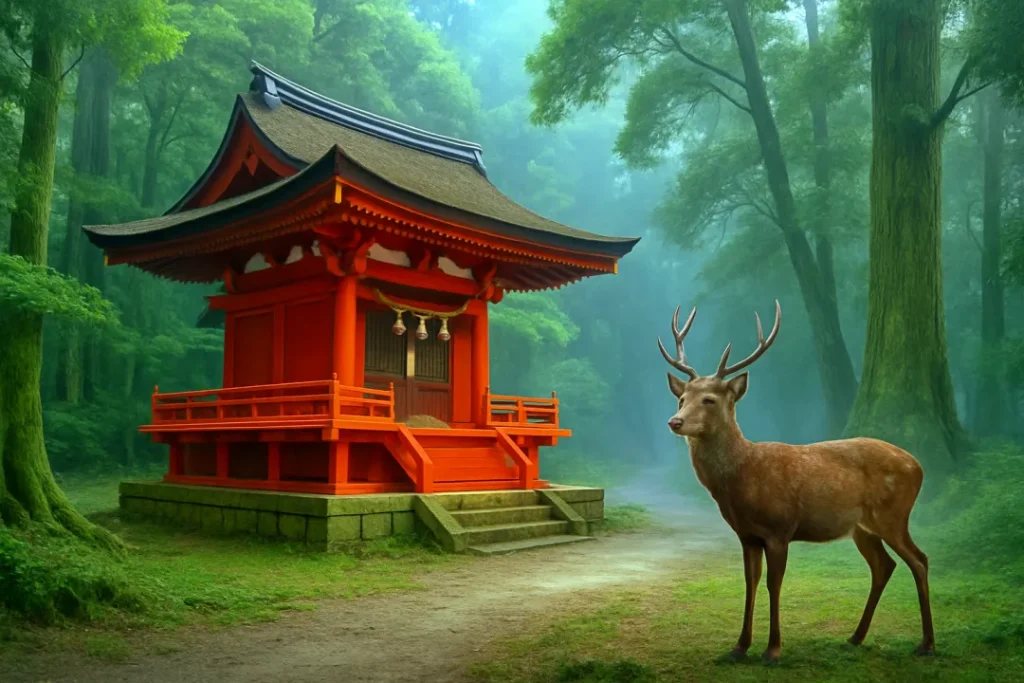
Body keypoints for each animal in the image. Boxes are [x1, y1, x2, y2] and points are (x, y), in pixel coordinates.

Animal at [658, 301, 934, 663]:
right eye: (681, 398)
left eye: (709, 400)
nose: (674, 421)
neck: (742, 478)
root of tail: (919, 466)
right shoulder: (747, 535)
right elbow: (750, 583)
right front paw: (739, 647)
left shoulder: (779, 529)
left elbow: (774, 585)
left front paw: (773, 649)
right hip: (863, 527)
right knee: (883, 565)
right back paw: (856, 637)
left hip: (893, 515)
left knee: (919, 560)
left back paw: (926, 643)